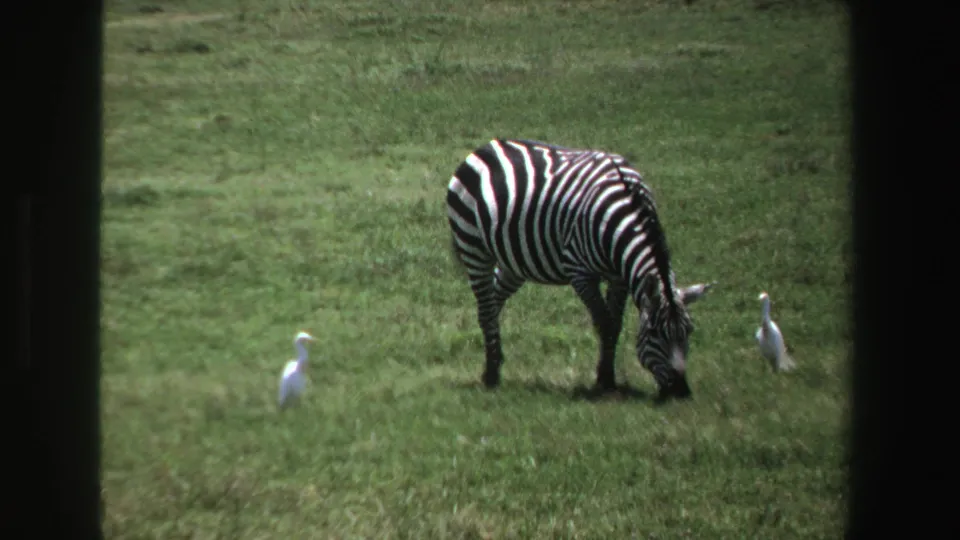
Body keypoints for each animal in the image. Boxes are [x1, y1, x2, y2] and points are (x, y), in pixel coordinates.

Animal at [446, 138, 695, 402]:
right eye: (656, 333)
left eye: (689, 331)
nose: (682, 392)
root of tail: (487, 146)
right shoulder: (580, 273)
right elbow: (605, 323)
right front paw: (605, 380)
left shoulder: (619, 278)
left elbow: (616, 323)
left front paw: (608, 377)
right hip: (474, 247)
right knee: (485, 307)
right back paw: (491, 375)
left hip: (513, 262)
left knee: (493, 303)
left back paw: (495, 362)